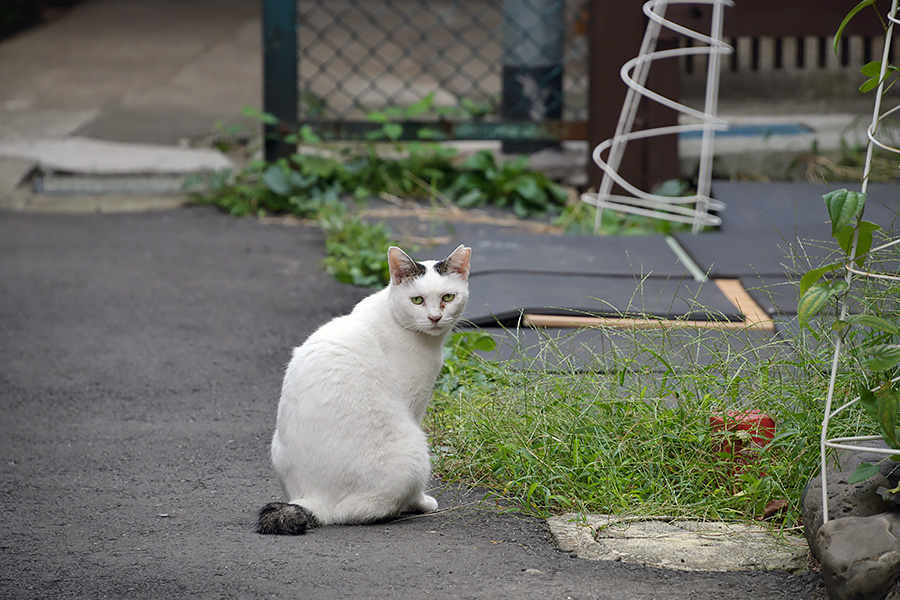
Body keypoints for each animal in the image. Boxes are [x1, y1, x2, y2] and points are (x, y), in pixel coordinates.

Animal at [256, 244, 472, 536]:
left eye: (448, 297)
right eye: (417, 300)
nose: (435, 317)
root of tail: (312, 499)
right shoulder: (412, 403)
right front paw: (423, 502)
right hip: (414, 449)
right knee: (357, 511)